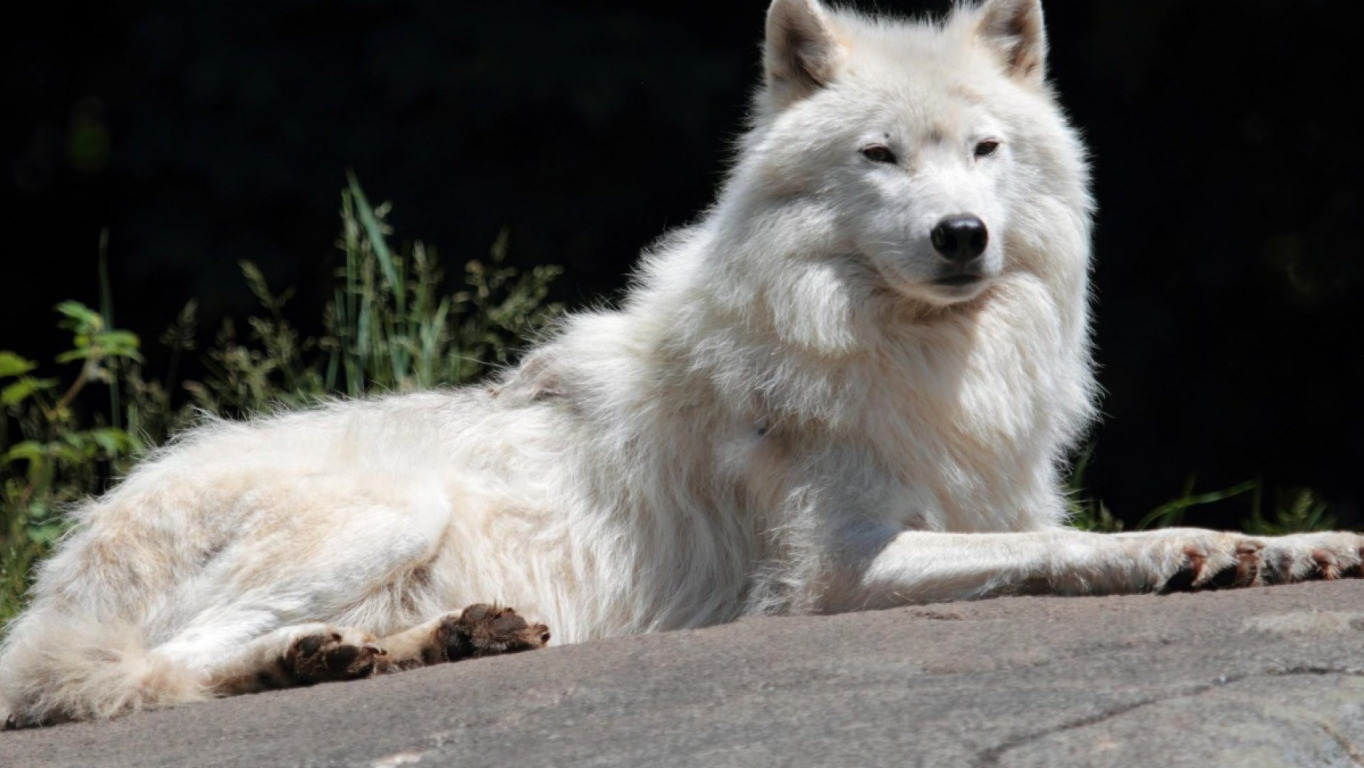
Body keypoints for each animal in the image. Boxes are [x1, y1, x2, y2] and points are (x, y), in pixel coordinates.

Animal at [3, 0, 1361, 728]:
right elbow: (1061, 550)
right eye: (878, 157)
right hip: (389, 511)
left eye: (982, 150)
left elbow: (1101, 530)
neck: (915, 361)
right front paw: (1178, 554)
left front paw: (1289, 547)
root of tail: (70, 560)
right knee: (154, 670)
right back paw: (314, 659)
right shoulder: (829, 576)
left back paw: (436, 644)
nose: (960, 236)